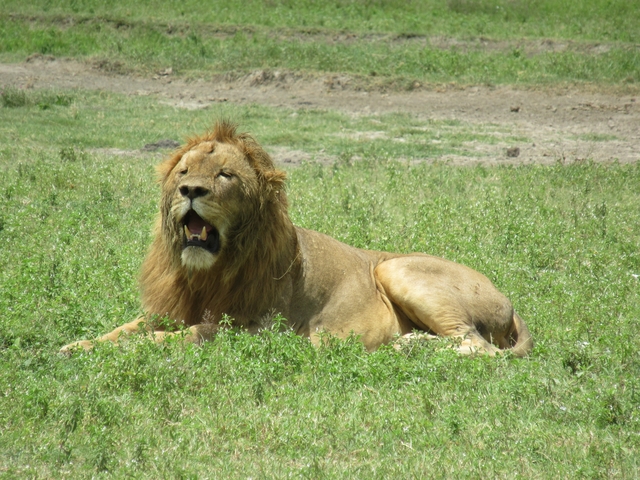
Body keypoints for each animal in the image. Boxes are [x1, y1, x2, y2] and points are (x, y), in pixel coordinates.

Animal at [61, 121, 533, 357]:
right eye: (183, 172)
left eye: (224, 175)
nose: (190, 191)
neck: (207, 274)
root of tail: (508, 301)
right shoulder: (169, 308)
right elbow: (120, 330)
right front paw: (74, 346)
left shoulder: (257, 328)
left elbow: (184, 336)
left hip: (395, 268)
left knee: (475, 345)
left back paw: (407, 348)